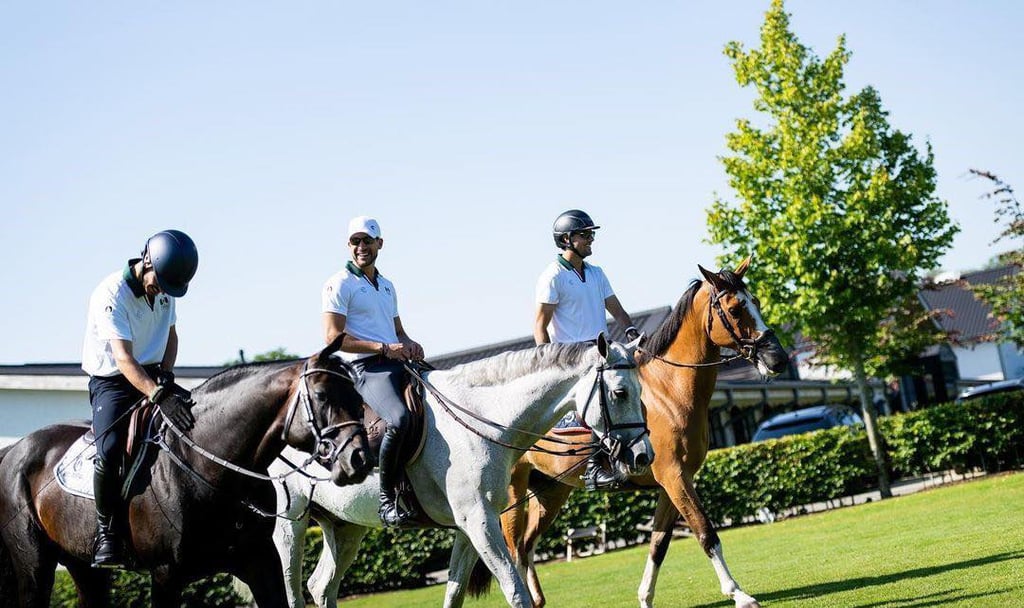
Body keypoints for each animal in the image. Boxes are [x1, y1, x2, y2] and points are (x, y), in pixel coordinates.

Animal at [0, 333, 374, 601]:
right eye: (323, 395)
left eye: (357, 396)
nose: (360, 459)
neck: (211, 471)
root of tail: (13, 452)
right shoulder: (166, 575)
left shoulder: (260, 562)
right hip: (35, 568)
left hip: (83, 567)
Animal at [499, 259, 786, 605]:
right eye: (734, 309)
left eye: (755, 302)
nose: (778, 359)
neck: (669, 391)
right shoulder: (674, 476)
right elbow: (705, 533)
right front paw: (738, 593)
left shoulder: (673, 482)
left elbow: (658, 544)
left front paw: (645, 597)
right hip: (513, 494)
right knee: (513, 551)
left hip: (551, 493)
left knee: (527, 547)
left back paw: (538, 601)